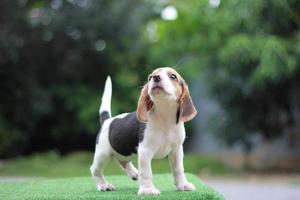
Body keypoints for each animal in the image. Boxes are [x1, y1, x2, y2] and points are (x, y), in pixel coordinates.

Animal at [90, 67, 198, 195]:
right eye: (150, 77)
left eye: (173, 76)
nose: (156, 78)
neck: (165, 116)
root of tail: (108, 120)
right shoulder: (145, 151)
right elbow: (146, 172)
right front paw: (148, 189)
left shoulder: (176, 151)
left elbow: (178, 169)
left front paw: (183, 185)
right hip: (103, 153)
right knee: (95, 169)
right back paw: (103, 185)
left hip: (124, 151)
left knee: (123, 161)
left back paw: (134, 173)